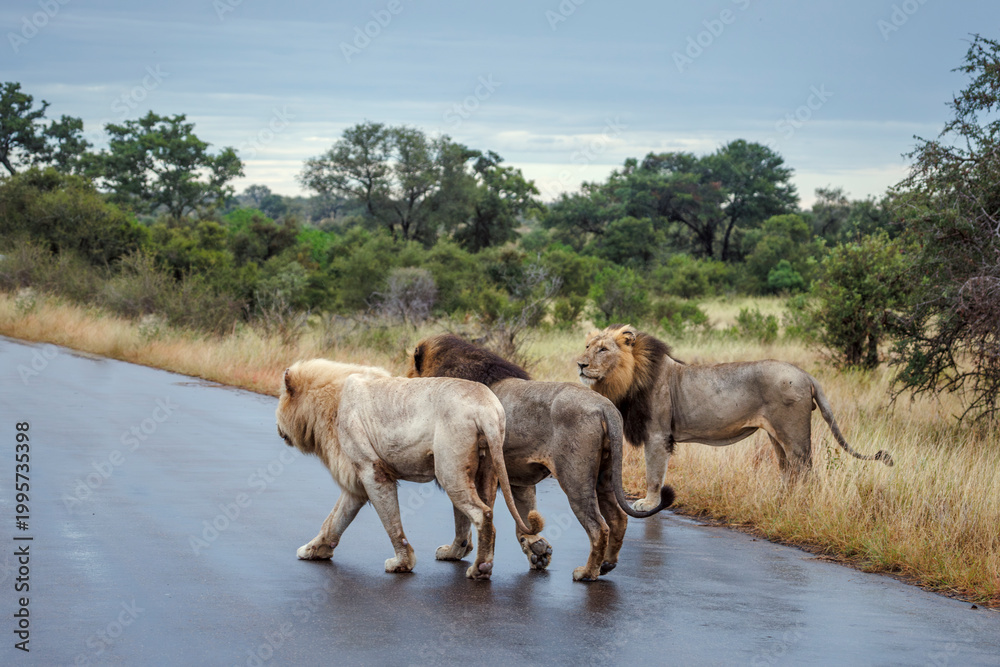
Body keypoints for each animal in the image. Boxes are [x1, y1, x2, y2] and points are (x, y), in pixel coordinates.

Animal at [276, 358, 542, 580]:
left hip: (449, 470)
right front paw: (314, 550)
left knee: (482, 513)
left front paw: (402, 564)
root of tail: (487, 408)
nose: (277, 427)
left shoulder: (372, 470)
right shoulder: (356, 480)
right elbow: (335, 519)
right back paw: (453, 553)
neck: (329, 403)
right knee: (477, 512)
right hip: (484, 470)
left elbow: (391, 521)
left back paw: (480, 569)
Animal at [408, 334, 674, 582]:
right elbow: (524, 515)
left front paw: (454, 552)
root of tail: (605, 405)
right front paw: (537, 550)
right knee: (618, 519)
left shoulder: (471, 471)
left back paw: (587, 573)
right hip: (604, 476)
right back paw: (606, 564)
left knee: (599, 528)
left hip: (575, 478)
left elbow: (463, 519)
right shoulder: (516, 479)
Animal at [576, 325, 895, 509]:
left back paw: (801, 505)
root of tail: (805, 374)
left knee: (805, 470)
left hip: (793, 434)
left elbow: (654, 474)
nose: (580, 364)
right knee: (788, 470)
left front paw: (647, 503)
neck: (626, 378)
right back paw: (779, 501)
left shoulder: (657, 435)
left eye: (603, 349)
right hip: (776, 436)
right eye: (588, 346)